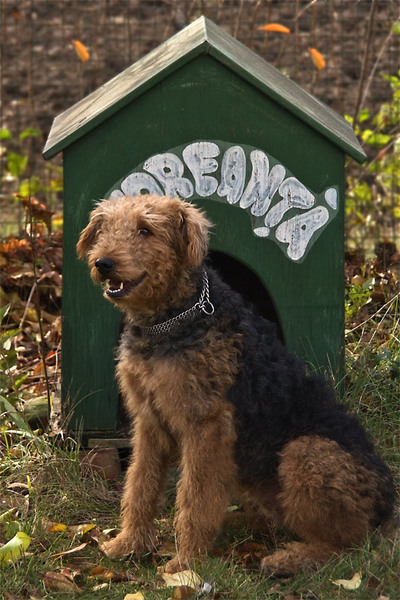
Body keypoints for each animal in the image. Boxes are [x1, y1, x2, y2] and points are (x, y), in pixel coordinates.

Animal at [77, 193, 395, 575]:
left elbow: (195, 499)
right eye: (105, 228)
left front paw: (186, 562)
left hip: (304, 452)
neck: (172, 319)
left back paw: (287, 559)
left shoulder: (206, 426)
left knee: (347, 546)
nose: (103, 263)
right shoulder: (150, 423)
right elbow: (140, 486)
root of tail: (388, 508)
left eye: (145, 230)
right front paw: (128, 544)